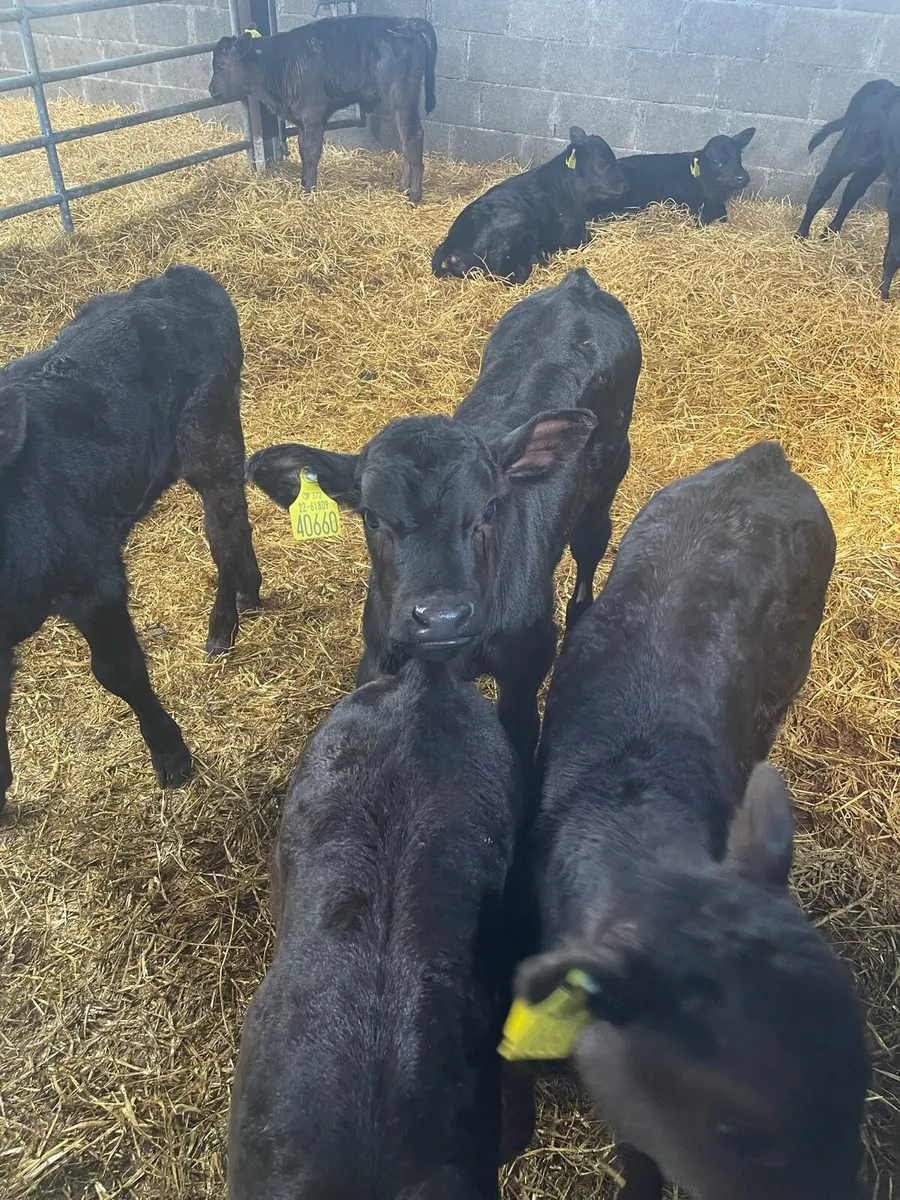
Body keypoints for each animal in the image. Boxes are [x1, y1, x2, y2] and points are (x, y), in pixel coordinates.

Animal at [0, 265, 261, 813]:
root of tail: (176, 277)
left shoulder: (94, 581)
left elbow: (118, 671)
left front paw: (171, 755)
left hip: (211, 437)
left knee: (223, 532)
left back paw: (223, 623)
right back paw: (250, 591)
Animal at [208, 16, 438, 203]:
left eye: (220, 65)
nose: (211, 90)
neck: (277, 62)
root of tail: (405, 23)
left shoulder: (314, 114)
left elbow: (311, 152)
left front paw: (308, 190)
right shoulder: (301, 120)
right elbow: (302, 150)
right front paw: (303, 184)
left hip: (401, 98)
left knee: (413, 137)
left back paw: (414, 195)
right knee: (406, 141)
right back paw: (403, 188)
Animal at [246, 269, 640, 765]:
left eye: (489, 508)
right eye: (371, 517)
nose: (441, 617)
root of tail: (577, 285)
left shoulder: (525, 670)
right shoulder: (378, 657)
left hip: (608, 478)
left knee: (590, 547)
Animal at [796, 80, 897, 241]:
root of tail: (888, 86)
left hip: (872, 164)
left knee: (852, 191)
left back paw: (830, 232)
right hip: (850, 151)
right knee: (824, 187)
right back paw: (801, 234)